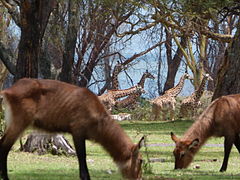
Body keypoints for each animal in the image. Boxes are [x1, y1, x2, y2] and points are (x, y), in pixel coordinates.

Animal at [0, 78, 142, 180]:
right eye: (141, 160)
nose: (138, 178)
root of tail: (7, 91)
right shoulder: (78, 131)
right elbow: (82, 159)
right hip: (19, 122)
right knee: (4, 146)